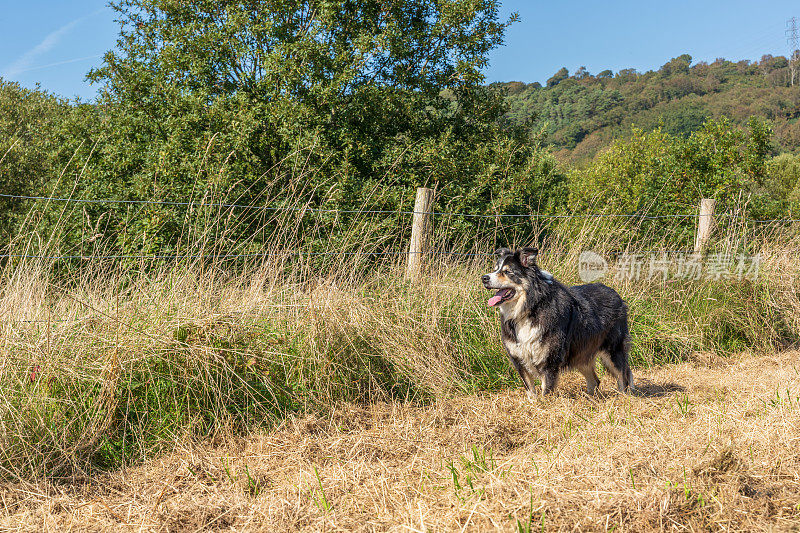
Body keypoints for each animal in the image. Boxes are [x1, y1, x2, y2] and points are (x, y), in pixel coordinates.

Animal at [482, 247, 632, 396]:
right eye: (495, 269)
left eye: (508, 272)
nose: (484, 278)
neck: (530, 308)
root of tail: (615, 294)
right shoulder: (519, 358)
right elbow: (531, 391)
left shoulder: (549, 360)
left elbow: (546, 391)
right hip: (581, 352)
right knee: (595, 380)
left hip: (613, 350)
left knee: (623, 377)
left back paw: (624, 396)